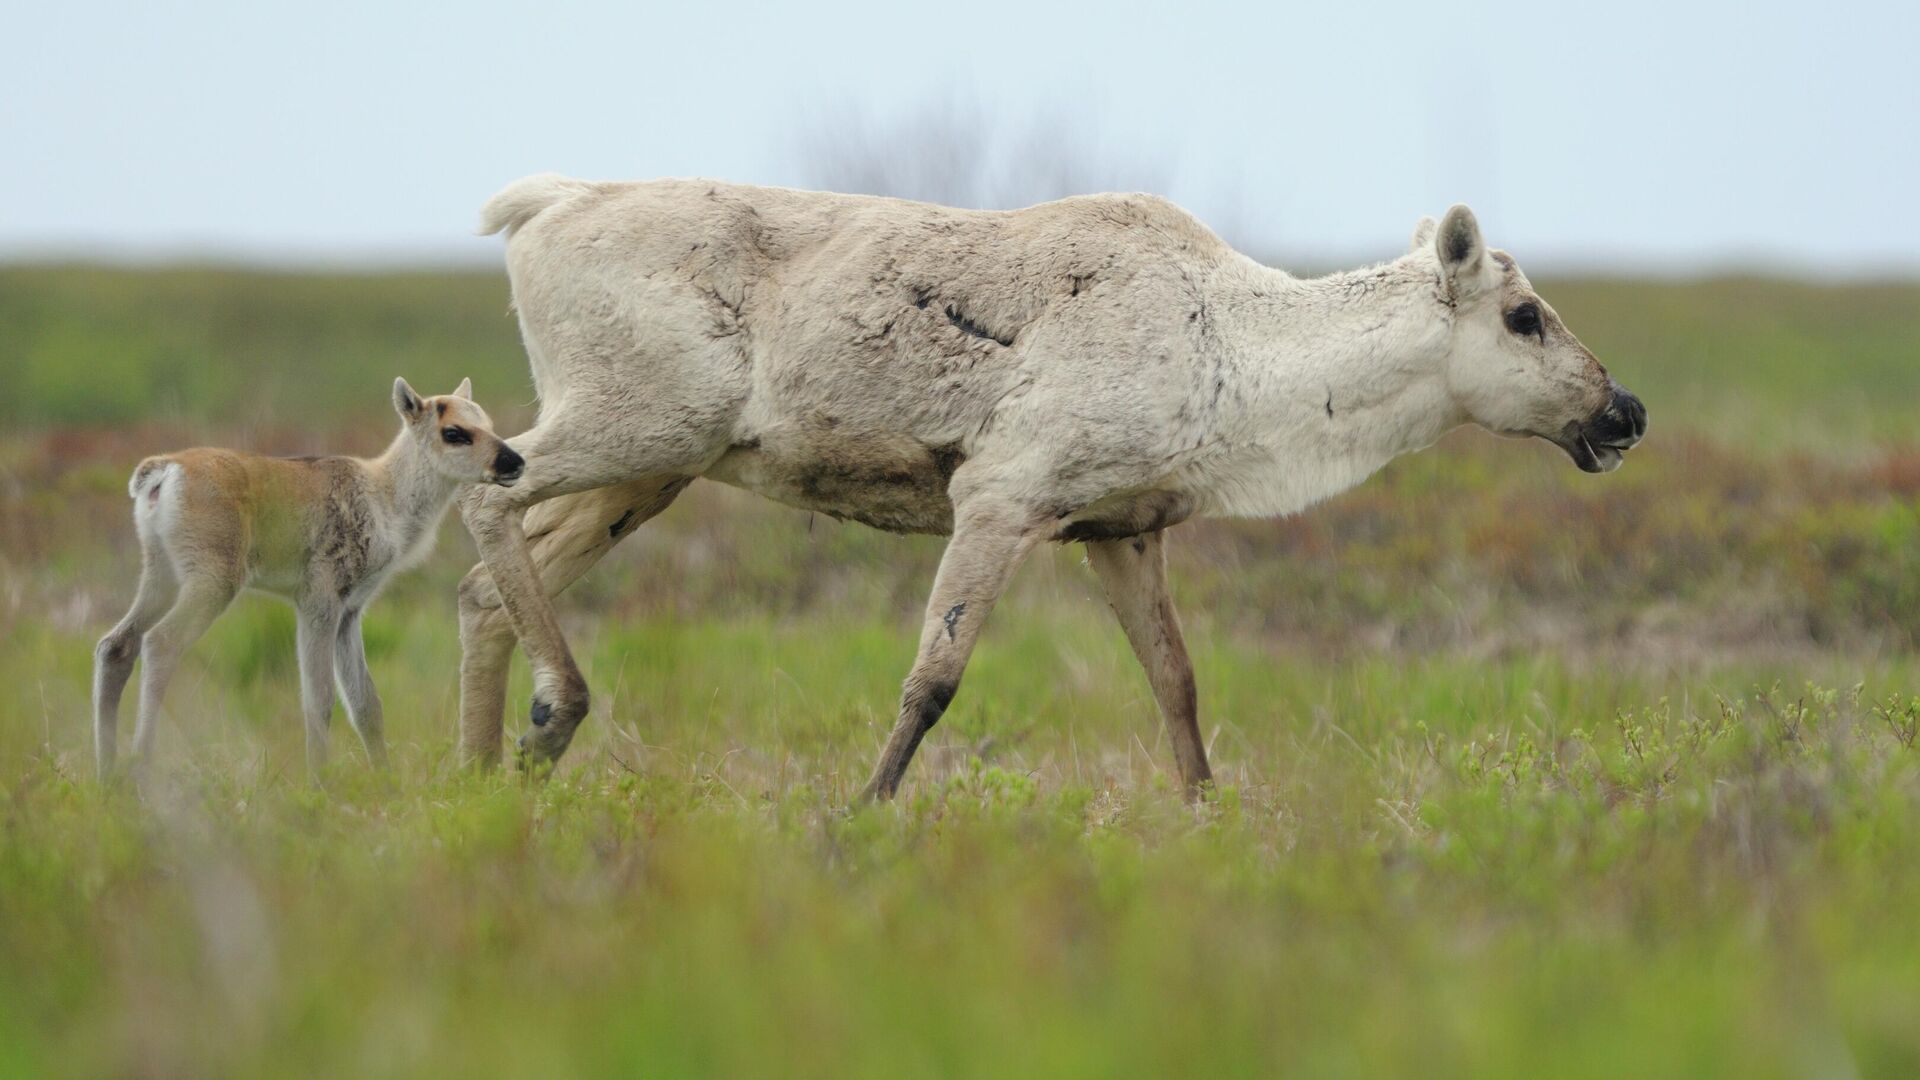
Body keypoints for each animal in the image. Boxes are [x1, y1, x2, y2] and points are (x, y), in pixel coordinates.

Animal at [93, 378, 522, 772]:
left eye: (488, 422)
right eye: (453, 432)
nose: (514, 462)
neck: (387, 498)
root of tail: (163, 471)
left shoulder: (350, 612)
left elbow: (366, 704)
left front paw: (386, 782)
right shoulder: (319, 601)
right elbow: (320, 700)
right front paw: (320, 783)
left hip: (160, 576)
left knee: (115, 645)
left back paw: (108, 775)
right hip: (212, 582)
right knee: (160, 642)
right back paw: (140, 768)